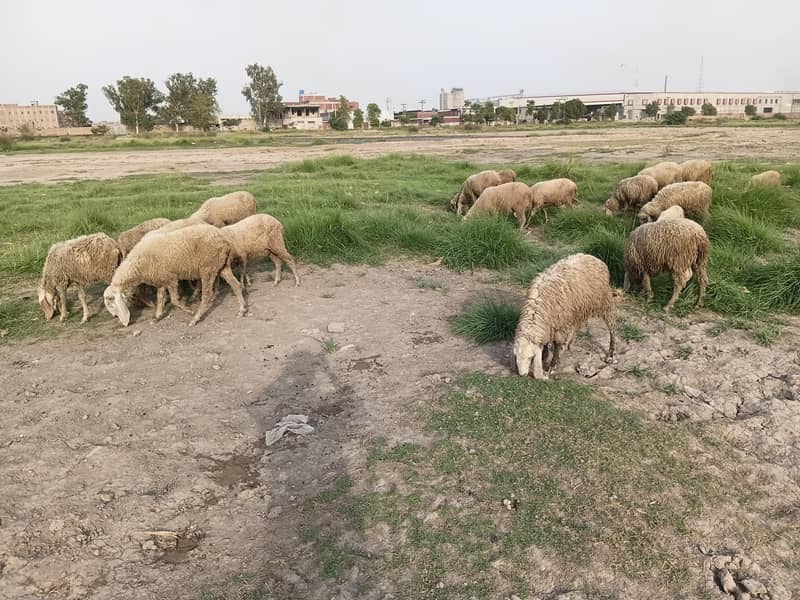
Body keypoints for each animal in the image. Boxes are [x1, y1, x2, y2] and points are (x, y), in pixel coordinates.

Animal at [103, 224, 246, 326]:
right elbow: (160, 298)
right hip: (221, 266)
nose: (115, 317)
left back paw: (196, 318)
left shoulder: (171, 279)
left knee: (206, 295)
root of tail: (224, 240)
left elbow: (174, 301)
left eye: (110, 300)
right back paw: (242, 309)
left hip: (207, 268)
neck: (139, 264)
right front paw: (157, 316)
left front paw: (189, 311)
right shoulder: (161, 279)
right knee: (236, 285)